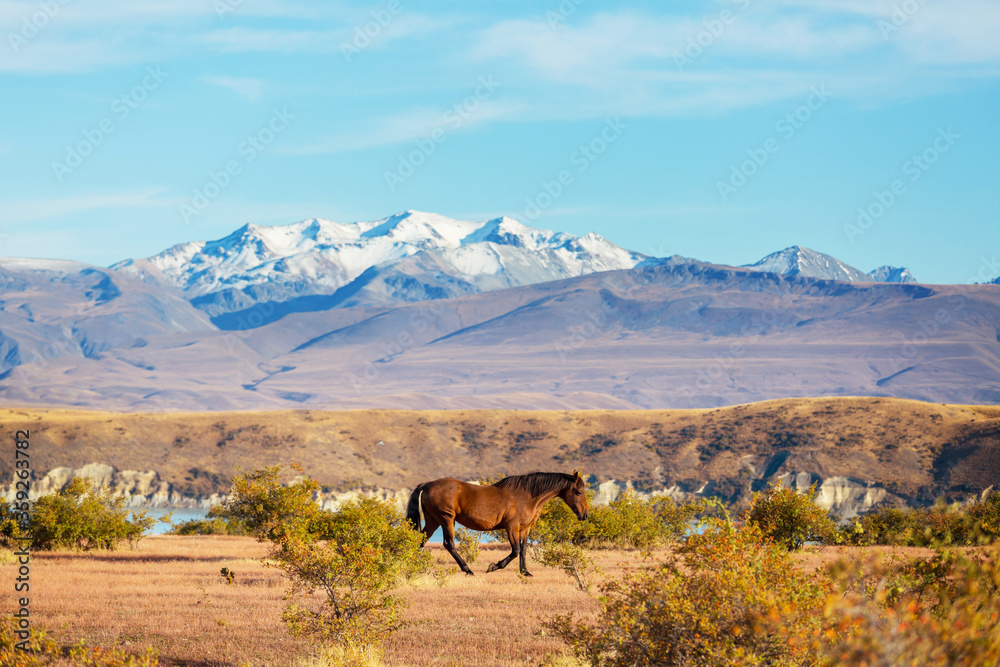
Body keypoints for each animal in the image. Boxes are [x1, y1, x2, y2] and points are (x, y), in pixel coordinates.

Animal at [404, 472, 588, 576]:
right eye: (578, 492)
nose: (584, 515)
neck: (527, 496)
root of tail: (428, 484)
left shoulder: (524, 529)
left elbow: (523, 550)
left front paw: (525, 572)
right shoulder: (512, 527)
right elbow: (515, 550)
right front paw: (494, 566)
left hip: (433, 520)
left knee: (419, 541)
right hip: (446, 519)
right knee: (449, 544)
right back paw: (468, 570)